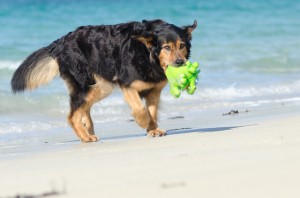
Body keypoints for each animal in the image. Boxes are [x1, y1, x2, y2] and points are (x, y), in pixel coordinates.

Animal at [11, 19, 198, 142]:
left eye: (182, 45)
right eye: (166, 47)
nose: (180, 62)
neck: (147, 53)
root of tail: (59, 43)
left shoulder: (154, 90)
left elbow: (152, 111)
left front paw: (153, 129)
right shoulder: (127, 85)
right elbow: (140, 110)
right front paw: (143, 123)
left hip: (100, 87)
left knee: (83, 109)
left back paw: (87, 128)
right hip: (87, 86)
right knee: (72, 116)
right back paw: (85, 137)